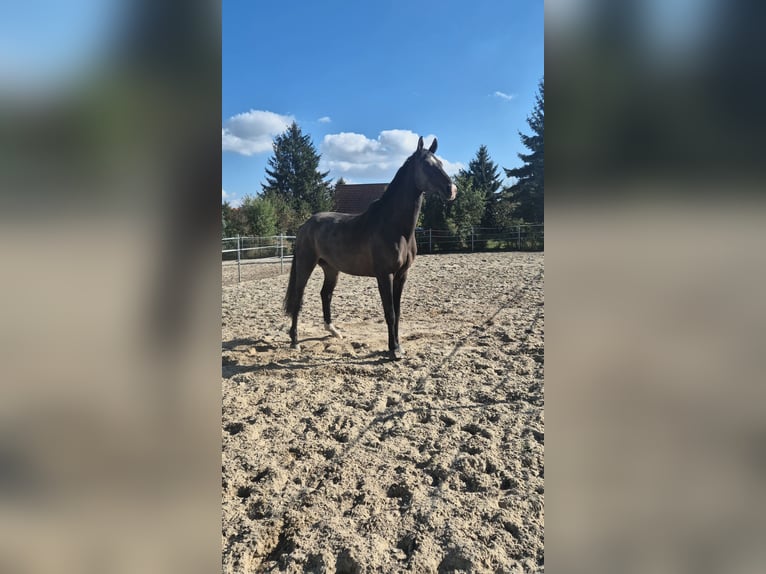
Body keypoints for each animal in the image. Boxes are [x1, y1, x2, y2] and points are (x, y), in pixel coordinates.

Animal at [283, 136, 457, 360]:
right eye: (427, 165)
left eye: (441, 163)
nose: (451, 190)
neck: (394, 227)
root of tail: (305, 225)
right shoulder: (385, 275)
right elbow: (389, 312)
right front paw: (394, 350)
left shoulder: (401, 275)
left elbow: (397, 312)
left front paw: (398, 346)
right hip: (306, 265)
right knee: (298, 298)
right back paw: (295, 342)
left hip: (331, 269)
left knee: (325, 294)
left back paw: (333, 331)